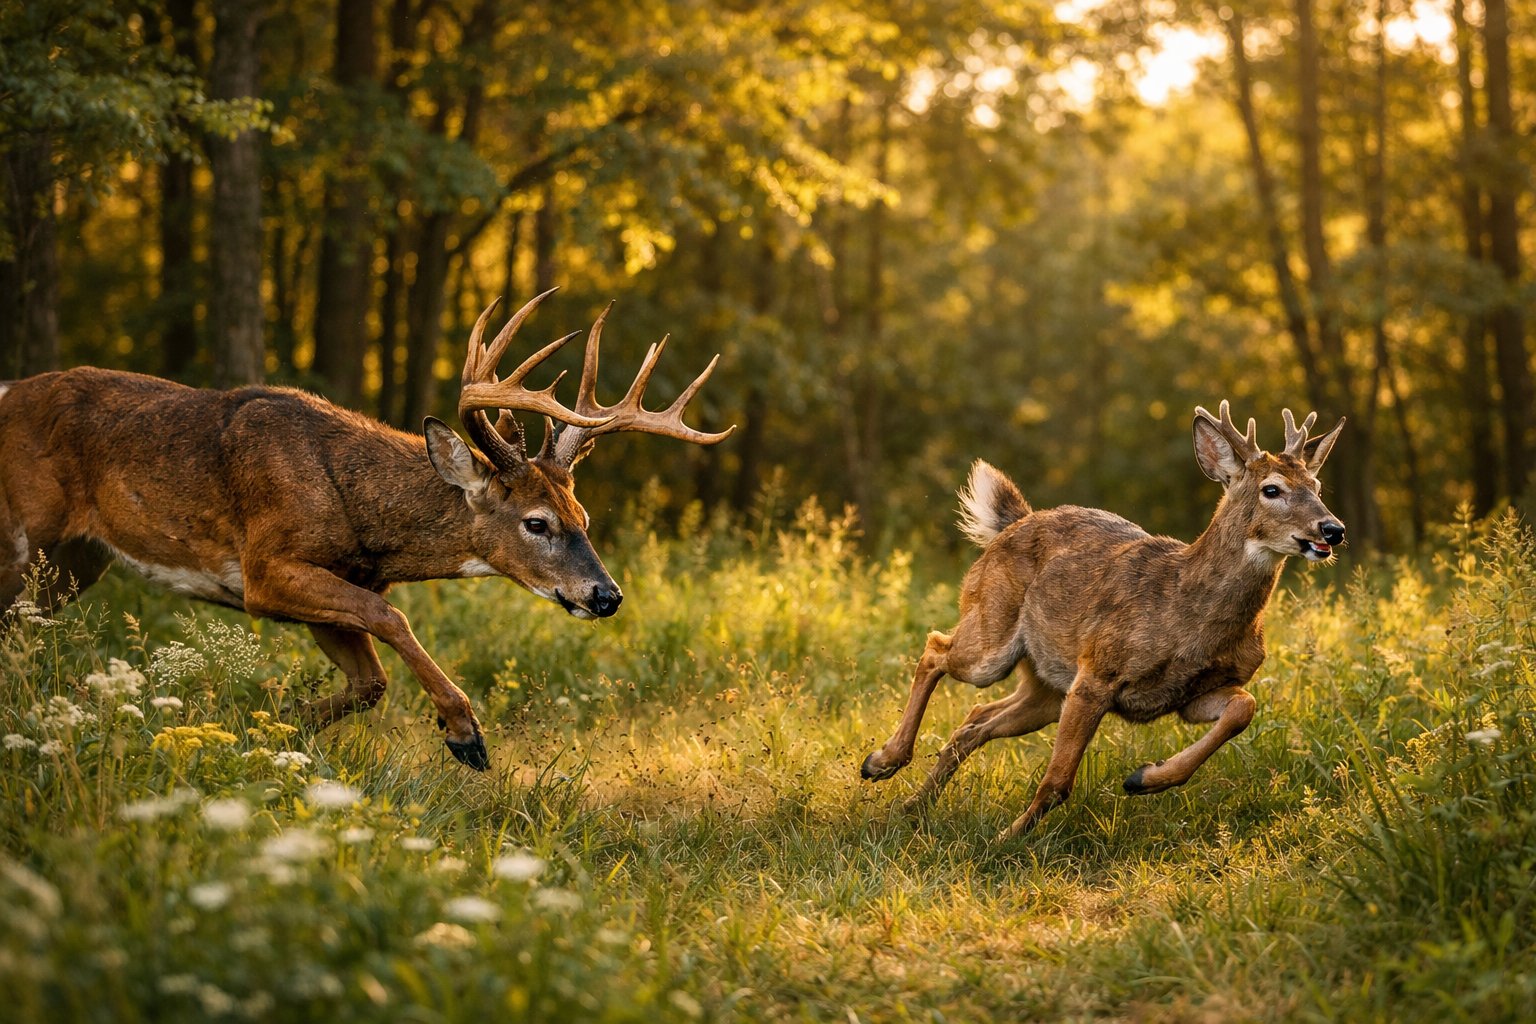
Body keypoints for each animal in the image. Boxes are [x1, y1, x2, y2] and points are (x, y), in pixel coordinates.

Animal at [0, 289, 732, 770]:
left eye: (585, 518)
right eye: (537, 522)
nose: (606, 595)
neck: (358, 507)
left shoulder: (331, 590)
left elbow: (370, 681)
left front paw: (269, 729)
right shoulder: (265, 569)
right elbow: (391, 617)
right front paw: (465, 733)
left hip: (78, 560)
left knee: (24, 628)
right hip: (25, 534)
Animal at [859, 402, 1345, 840]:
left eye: (1318, 484)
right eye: (1272, 489)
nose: (1333, 529)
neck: (1188, 616)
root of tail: (1014, 523)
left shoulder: (1190, 694)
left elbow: (1244, 708)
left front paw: (1144, 778)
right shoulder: (1098, 674)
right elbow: (1058, 780)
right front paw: (1005, 841)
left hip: (1047, 685)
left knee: (976, 718)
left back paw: (912, 806)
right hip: (991, 638)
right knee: (935, 649)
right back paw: (882, 762)